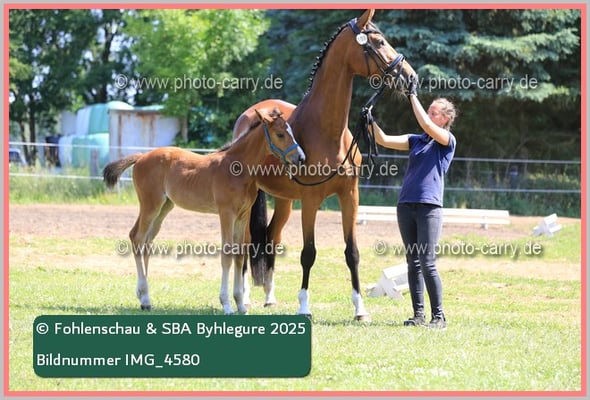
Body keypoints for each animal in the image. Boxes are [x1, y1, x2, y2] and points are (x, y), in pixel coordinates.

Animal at [103, 108, 306, 314]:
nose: (300, 158)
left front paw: (240, 304)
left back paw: (144, 297)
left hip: (164, 207)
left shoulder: (243, 215)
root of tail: (141, 157)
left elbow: (240, 254)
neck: (237, 168)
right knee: (137, 237)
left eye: (290, 131)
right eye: (280, 134)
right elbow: (227, 254)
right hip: (150, 204)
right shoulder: (226, 213)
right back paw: (144, 298)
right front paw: (226, 304)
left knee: (147, 241)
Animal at [233, 9, 417, 320]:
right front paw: (304, 306)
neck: (327, 130)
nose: (410, 77)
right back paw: (244, 297)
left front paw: (360, 309)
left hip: (284, 201)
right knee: (246, 242)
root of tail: (251, 113)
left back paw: (269, 296)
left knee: (271, 237)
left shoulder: (349, 196)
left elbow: (352, 252)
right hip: (254, 197)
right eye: (379, 42)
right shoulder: (311, 200)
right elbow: (308, 253)